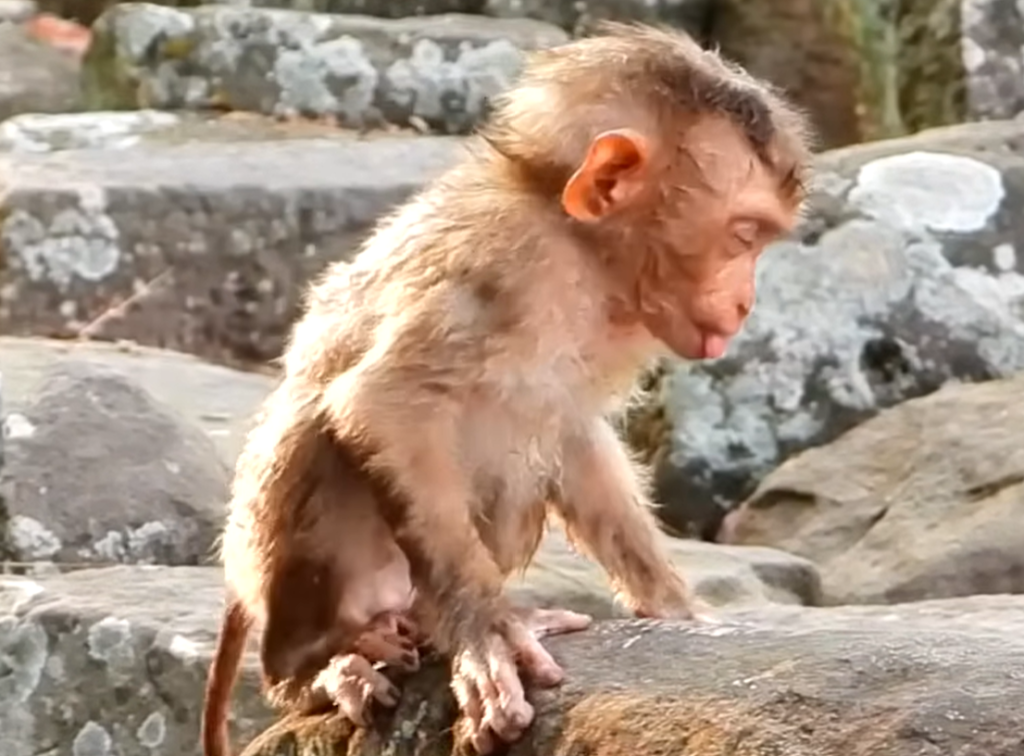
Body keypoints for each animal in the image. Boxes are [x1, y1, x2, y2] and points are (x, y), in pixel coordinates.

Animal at [201, 20, 814, 756]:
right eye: (743, 236)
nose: (747, 302)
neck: (580, 248)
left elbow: (574, 438)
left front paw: (674, 604)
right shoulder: (505, 265)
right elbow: (382, 405)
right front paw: (487, 633)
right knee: (313, 432)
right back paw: (321, 668)